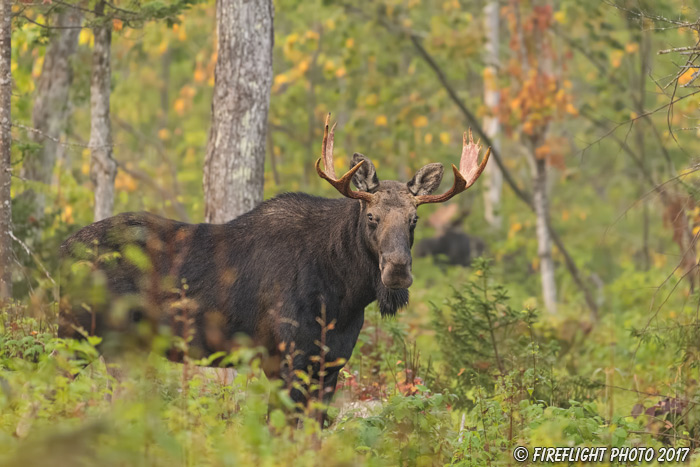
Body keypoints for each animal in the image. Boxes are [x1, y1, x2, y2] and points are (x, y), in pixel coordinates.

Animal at [57, 115, 490, 412]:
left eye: (414, 220)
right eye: (372, 217)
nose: (397, 270)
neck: (344, 295)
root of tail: (62, 248)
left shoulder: (331, 362)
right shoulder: (288, 356)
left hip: (119, 345)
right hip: (75, 330)